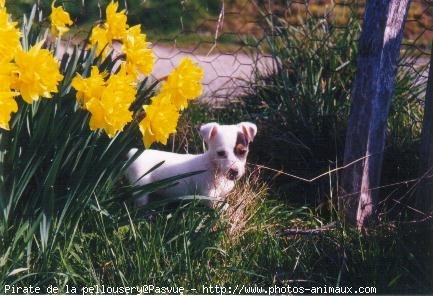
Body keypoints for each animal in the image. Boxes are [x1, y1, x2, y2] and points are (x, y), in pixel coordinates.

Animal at [126, 122, 258, 206]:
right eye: (221, 153)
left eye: (242, 152)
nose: (234, 171)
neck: (213, 167)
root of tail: (133, 152)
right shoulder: (207, 195)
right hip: (140, 187)